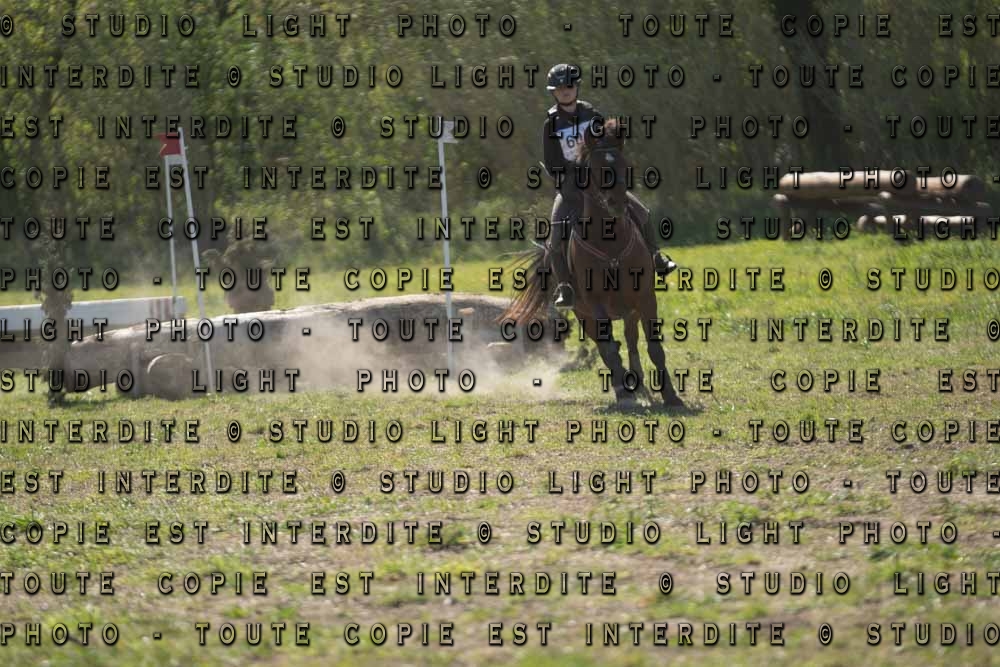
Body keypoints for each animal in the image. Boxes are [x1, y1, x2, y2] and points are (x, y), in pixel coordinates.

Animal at [501, 118, 684, 409]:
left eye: (624, 163)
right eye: (595, 168)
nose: (617, 203)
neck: (610, 243)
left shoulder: (645, 297)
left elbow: (654, 347)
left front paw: (671, 396)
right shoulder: (595, 304)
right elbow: (609, 348)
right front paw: (625, 394)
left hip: (629, 309)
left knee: (631, 340)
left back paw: (639, 385)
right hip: (583, 312)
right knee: (606, 346)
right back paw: (625, 389)